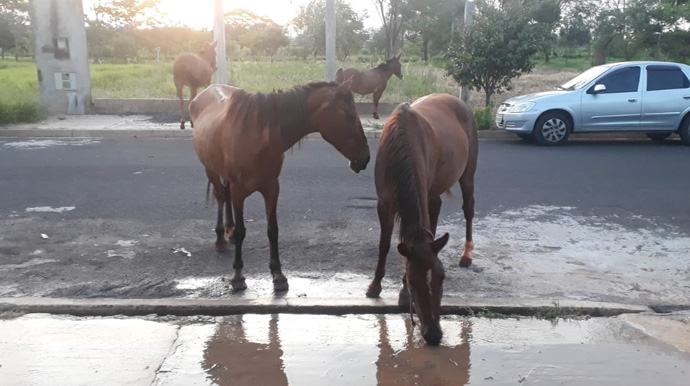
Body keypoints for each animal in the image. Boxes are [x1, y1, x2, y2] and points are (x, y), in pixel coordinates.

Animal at [188, 82, 370, 292]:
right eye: (350, 115)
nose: (365, 158)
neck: (257, 136)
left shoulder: (272, 188)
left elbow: (273, 230)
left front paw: (278, 274)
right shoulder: (239, 191)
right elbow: (242, 231)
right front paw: (238, 276)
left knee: (225, 195)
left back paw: (229, 231)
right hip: (210, 169)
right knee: (220, 196)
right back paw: (220, 238)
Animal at [362, 94, 476, 346]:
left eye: (442, 278)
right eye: (413, 281)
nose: (433, 335)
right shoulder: (384, 203)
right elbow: (384, 244)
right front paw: (376, 286)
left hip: (467, 174)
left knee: (469, 209)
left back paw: (466, 255)